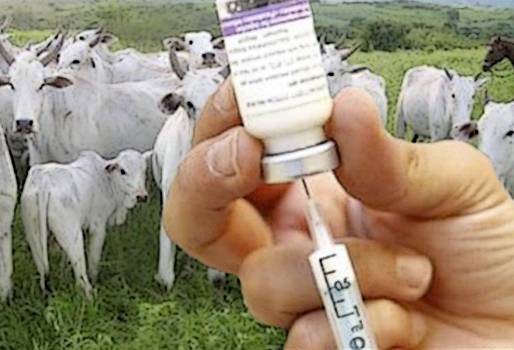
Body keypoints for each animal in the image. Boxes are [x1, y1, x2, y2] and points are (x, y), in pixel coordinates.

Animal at [22, 150, 150, 298]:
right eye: (123, 171)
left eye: (144, 170)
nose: (141, 196)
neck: (107, 181)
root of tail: (44, 181)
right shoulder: (98, 226)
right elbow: (94, 259)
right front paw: (94, 279)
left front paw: (63, 275)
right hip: (73, 234)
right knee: (80, 273)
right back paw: (90, 295)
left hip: (34, 231)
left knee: (43, 269)